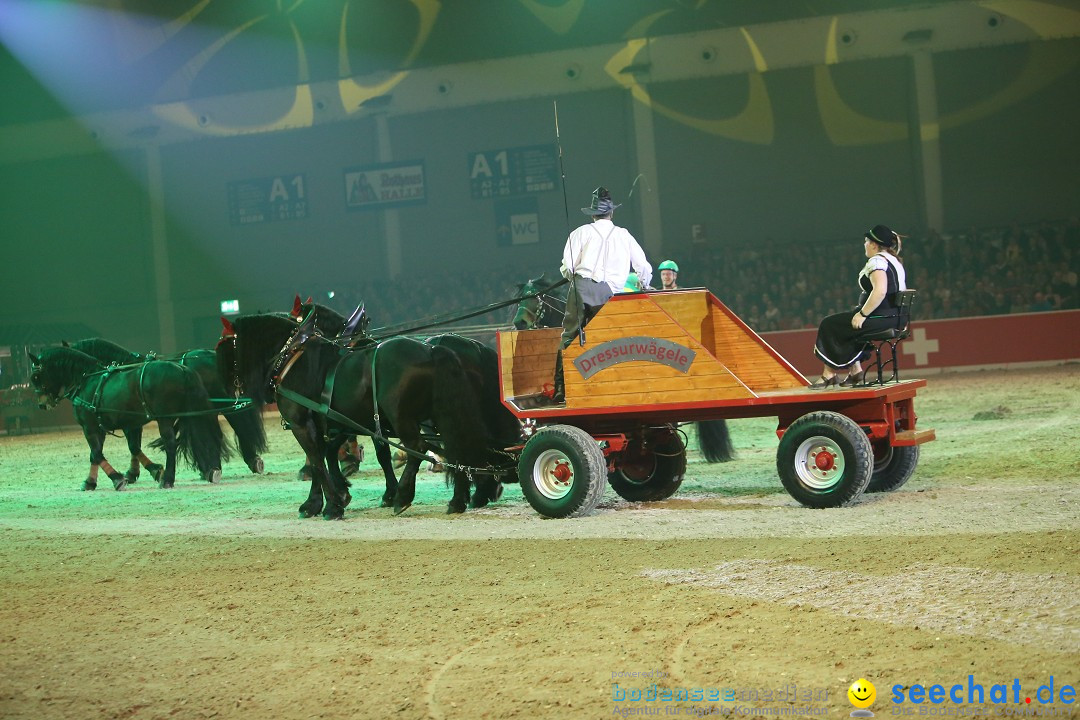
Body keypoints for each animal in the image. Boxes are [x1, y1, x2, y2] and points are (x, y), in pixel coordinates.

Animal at [27, 345, 226, 492]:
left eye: (36, 376)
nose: (42, 404)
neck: (87, 380)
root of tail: (182, 368)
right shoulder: (101, 427)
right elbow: (96, 454)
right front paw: (90, 482)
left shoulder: (90, 426)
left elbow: (98, 453)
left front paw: (118, 478)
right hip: (187, 414)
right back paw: (210, 470)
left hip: (165, 418)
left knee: (171, 444)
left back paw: (168, 479)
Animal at [218, 313, 505, 520]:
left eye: (224, 346)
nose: (227, 389)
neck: (293, 358)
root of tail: (433, 351)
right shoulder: (331, 424)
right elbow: (322, 458)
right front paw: (322, 501)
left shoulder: (303, 424)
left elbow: (317, 461)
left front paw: (333, 505)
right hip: (442, 416)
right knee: (457, 448)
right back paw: (459, 499)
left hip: (404, 417)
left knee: (418, 447)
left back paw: (404, 497)